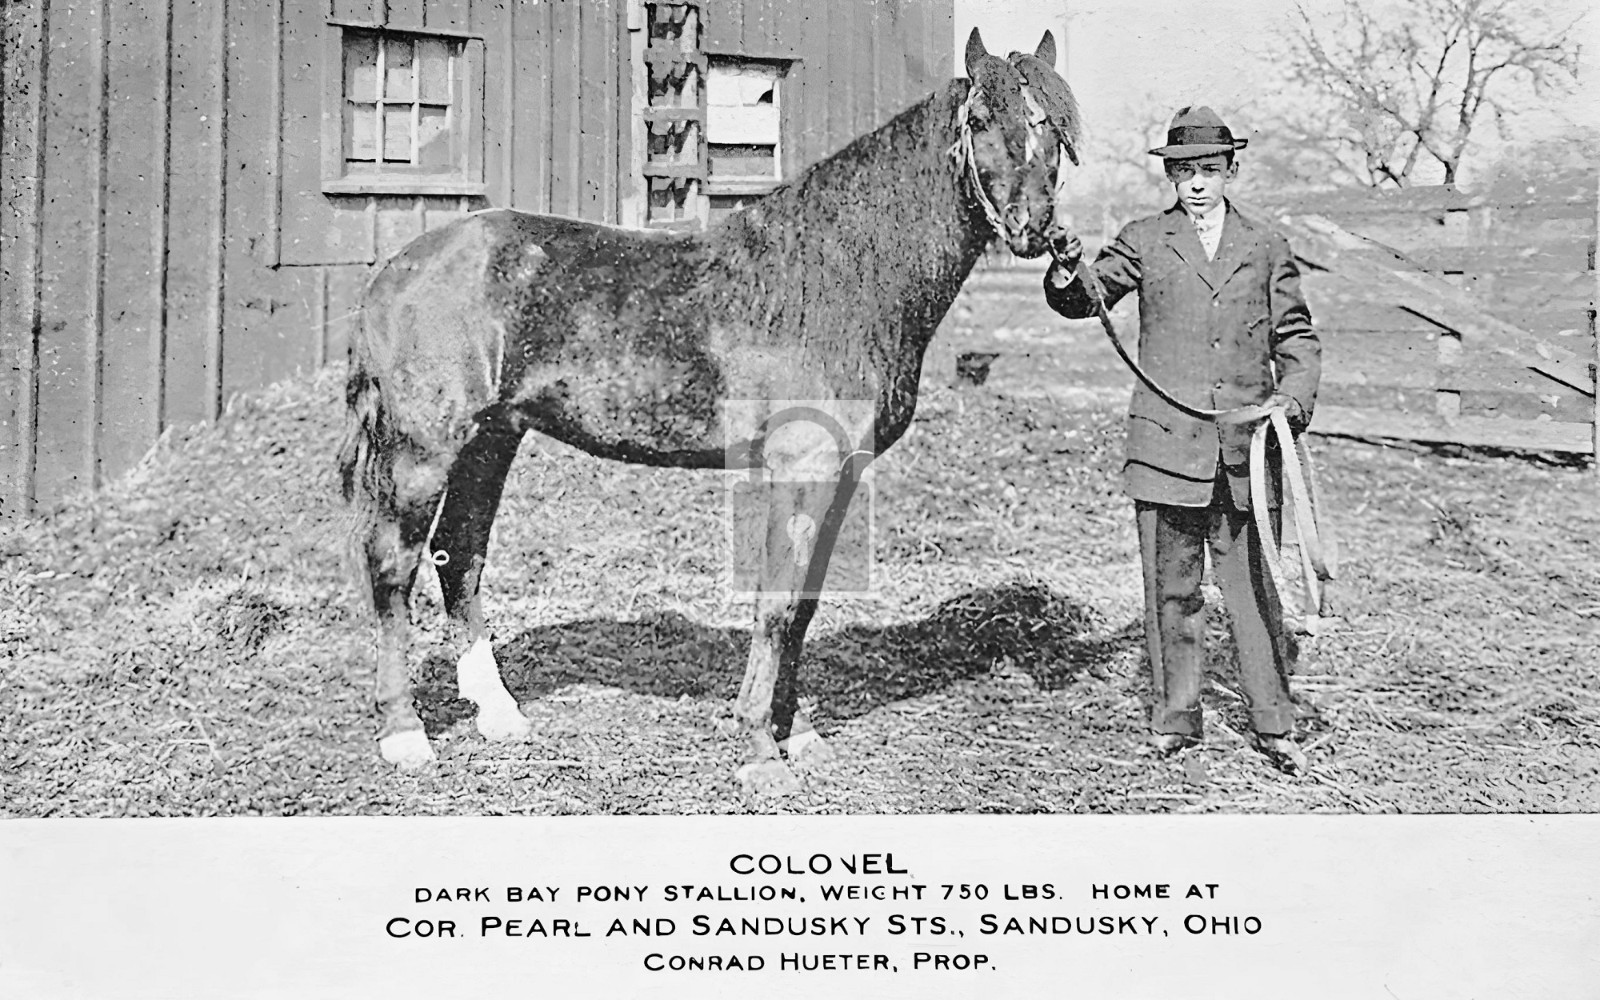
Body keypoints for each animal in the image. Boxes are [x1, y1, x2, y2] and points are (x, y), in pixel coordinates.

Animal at [338, 28, 1082, 794]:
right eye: (980, 120)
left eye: (1053, 127)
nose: (1034, 230)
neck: (839, 279)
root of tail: (398, 266)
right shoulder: (800, 469)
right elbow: (778, 605)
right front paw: (758, 748)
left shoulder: (841, 473)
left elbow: (804, 605)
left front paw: (798, 734)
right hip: (423, 450)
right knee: (393, 565)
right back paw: (404, 733)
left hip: (491, 441)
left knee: (460, 555)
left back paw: (499, 713)